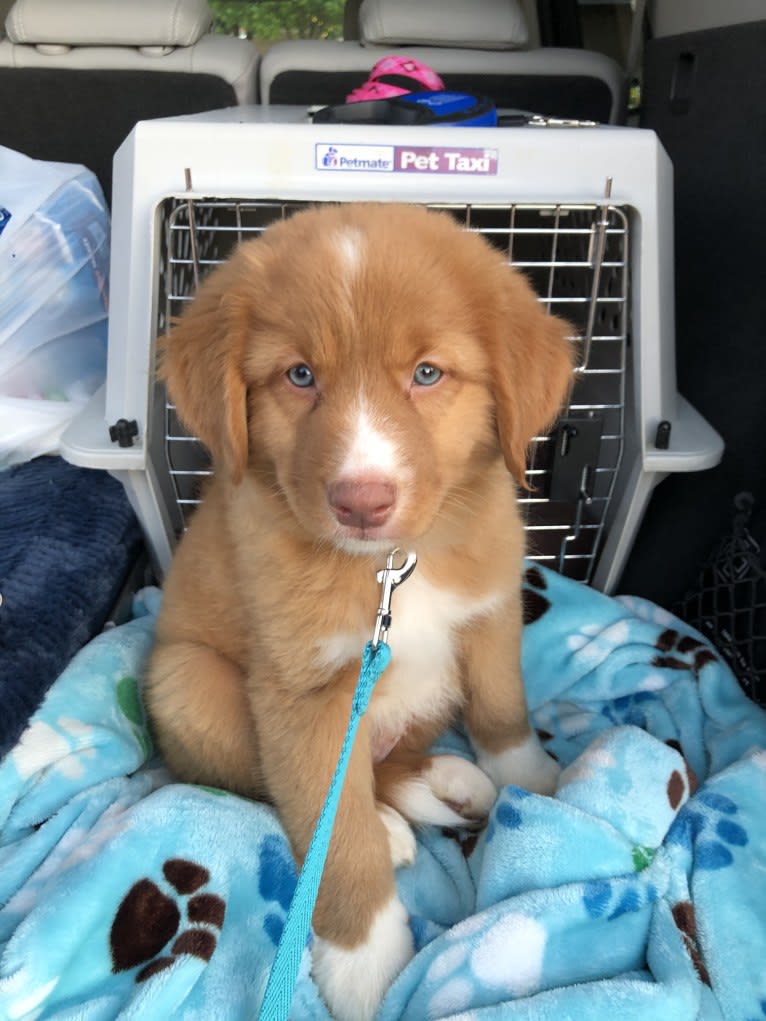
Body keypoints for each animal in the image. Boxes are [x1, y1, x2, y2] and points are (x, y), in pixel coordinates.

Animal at [145, 201, 576, 1021]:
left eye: (428, 373)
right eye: (300, 375)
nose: (361, 501)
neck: (393, 567)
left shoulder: (490, 612)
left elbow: (503, 711)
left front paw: (536, 784)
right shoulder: (302, 698)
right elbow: (334, 836)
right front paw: (367, 963)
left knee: (392, 759)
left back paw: (441, 782)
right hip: (185, 683)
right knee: (303, 791)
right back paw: (391, 824)